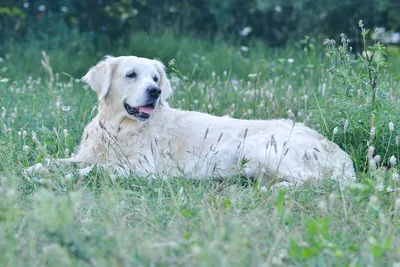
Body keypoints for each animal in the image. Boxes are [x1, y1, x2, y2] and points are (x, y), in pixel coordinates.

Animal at [25, 55, 356, 187]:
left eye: (155, 78)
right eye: (131, 74)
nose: (155, 91)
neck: (119, 130)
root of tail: (338, 152)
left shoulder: (142, 171)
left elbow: (93, 171)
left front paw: (62, 179)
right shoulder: (87, 155)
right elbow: (57, 162)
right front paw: (33, 170)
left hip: (261, 148)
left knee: (312, 181)